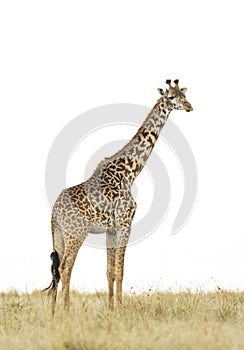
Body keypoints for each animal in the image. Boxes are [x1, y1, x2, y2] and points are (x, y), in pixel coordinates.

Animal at [43, 79, 193, 314]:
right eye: (170, 97)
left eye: (183, 94)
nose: (189, 106)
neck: (130, 173)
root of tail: (55, 210)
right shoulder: (125, 224)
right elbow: (121, 270)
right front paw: (122, 309)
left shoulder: (110, 229)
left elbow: (109, 271)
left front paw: (111, 309)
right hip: (76, 232)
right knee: (66, 266)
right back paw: (66, 311)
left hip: (57, 234)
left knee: (55, 269)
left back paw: (51, 314)